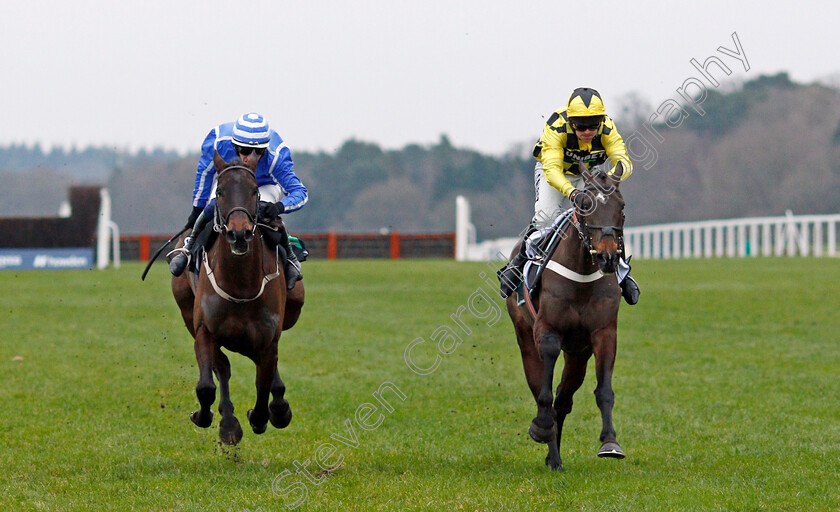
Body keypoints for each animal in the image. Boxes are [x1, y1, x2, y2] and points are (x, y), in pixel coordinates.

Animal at [169, 151, 304, 444]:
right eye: (220, 191)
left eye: (254, 191)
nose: (239, 233)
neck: (240, 286)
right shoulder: (204, 330)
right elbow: (207, 385)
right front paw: (208, 417)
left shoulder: (267, 339)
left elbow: (263, 389)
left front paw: (266, 414)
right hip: (186, 311)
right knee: (222, 367)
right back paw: (228, 422)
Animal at [502, 166, 628, 470]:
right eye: (584, 205)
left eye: (621, 207)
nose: (608, 257)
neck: (582, 274)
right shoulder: (547, 330)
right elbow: (544, 392)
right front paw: (541, 428)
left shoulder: (603, 333)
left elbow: (604, 390)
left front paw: (610, 442)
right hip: (524, 336)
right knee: (541, 389)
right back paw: (551, 449)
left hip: (578, 354)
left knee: (564, 398)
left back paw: (554, 456)